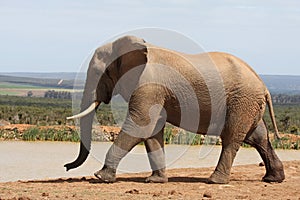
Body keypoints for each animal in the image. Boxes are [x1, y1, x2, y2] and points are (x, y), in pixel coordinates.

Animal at [64, 35, 284, 184]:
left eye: (101, 72)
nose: (66, 167)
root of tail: (263, 85)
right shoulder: (154, 91)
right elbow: (152, 130)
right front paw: (155, 181)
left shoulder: (149, 86)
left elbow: (140, 125)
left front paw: (100, 176)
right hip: (249, 102)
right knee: (258, 137)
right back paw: (273, 178)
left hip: (242, 101)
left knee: (231, 137)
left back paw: (214, 181)